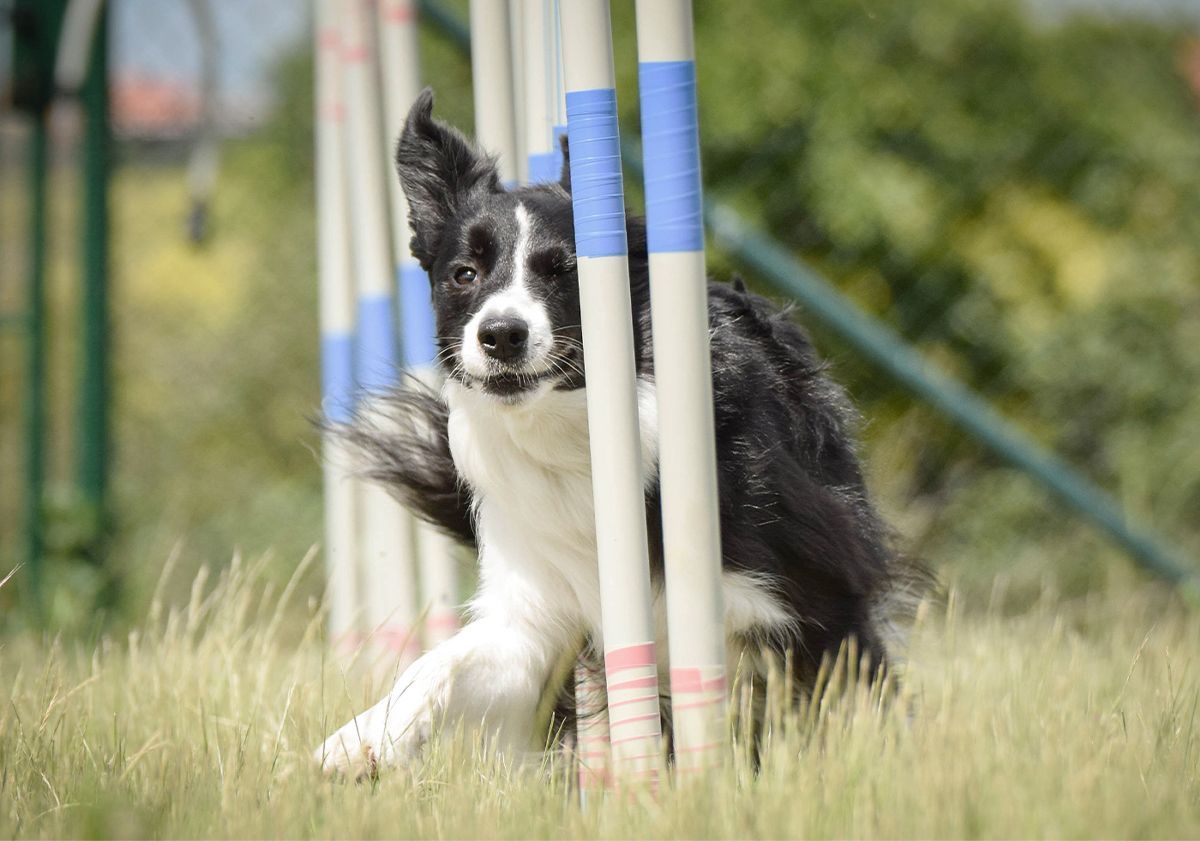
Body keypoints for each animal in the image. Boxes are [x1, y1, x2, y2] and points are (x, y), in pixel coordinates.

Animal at [314, 88, 921, 777]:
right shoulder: (542, 611)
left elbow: (828, 691)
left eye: (567, 271)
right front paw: (362, 739)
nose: (501, 335)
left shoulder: (808, 596)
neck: (570, 433)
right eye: (464, 273)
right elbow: (444, 662)